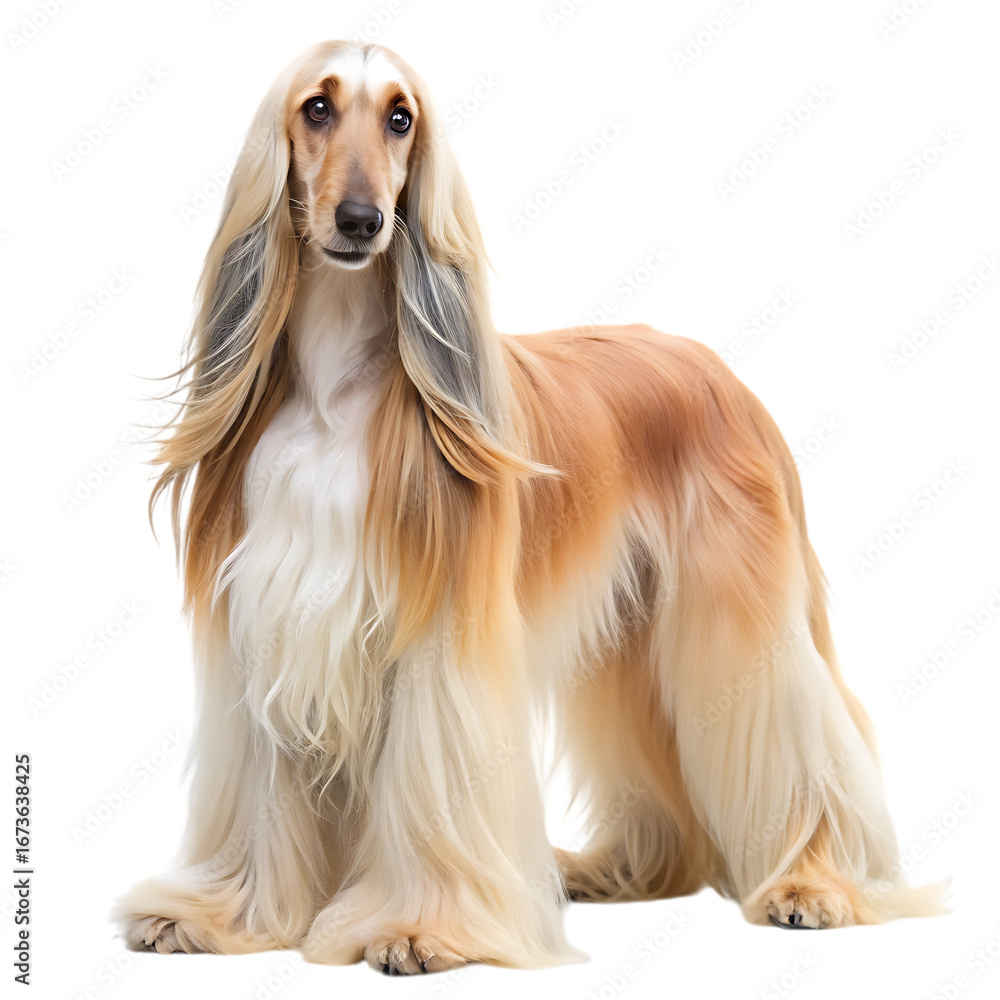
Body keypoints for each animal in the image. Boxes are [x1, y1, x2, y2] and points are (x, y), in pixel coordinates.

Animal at [116, 40, 945, 973]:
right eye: (317, 108)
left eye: (400, 117)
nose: (363, 221)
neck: (334, 384)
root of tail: (723, 374)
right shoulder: (273, 621)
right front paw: (222, 917)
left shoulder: (437, 630)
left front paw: (421, 928)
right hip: (633, 635)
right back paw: (612, 869)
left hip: (734, 617)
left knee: (799, 732)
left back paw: (810, 883)